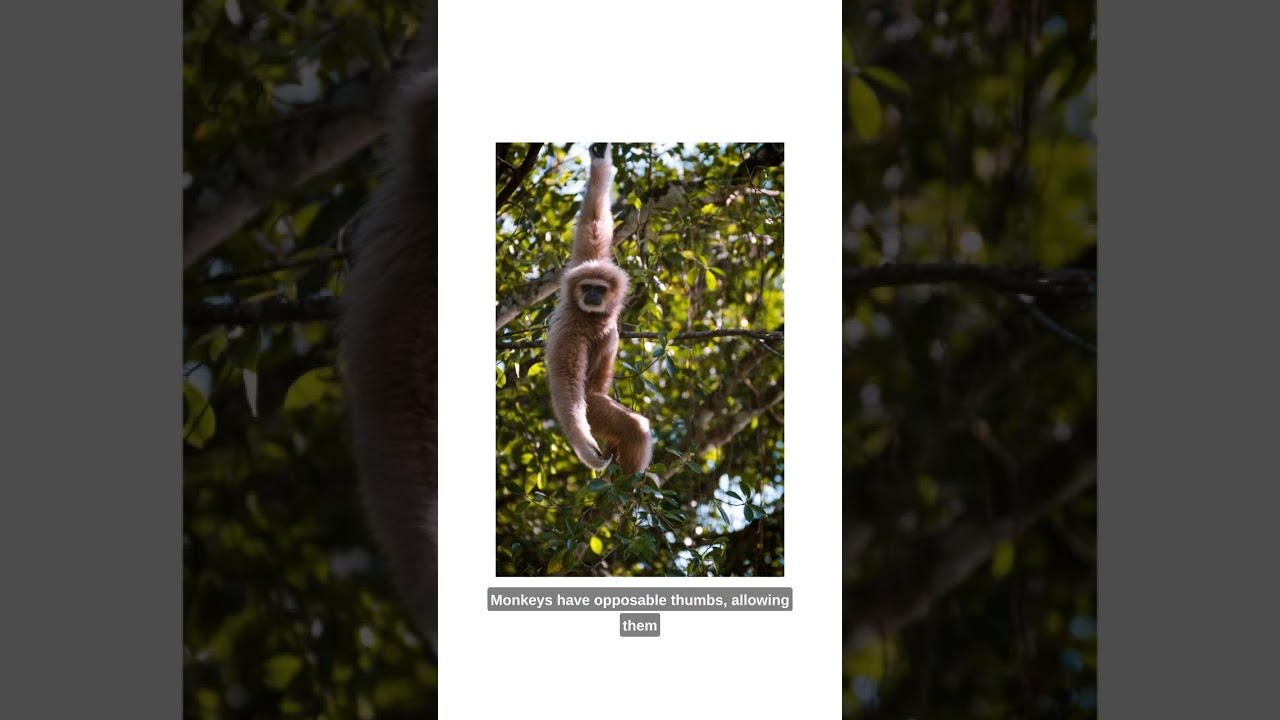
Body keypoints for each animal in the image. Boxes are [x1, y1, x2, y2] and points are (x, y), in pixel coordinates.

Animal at [543, 143, 654, 476]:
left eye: (600, 289)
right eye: (586, 288)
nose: (591, 294)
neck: (592, 316)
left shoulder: (583, 262)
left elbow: (593, 224)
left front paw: (600, 158)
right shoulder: (570, 328)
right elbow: (565, 383)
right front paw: (584, 446)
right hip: (594, 409)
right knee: (635, 428)